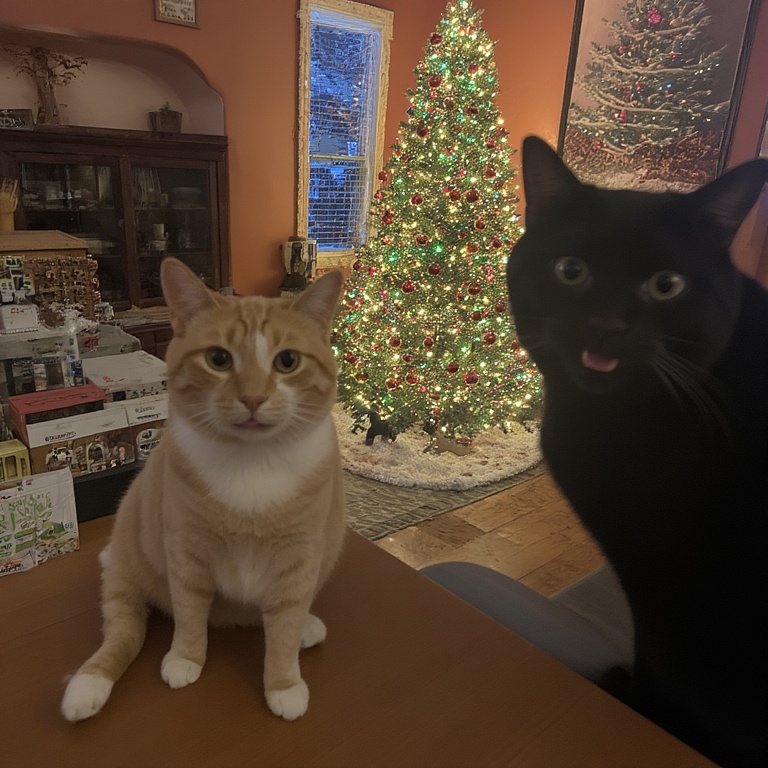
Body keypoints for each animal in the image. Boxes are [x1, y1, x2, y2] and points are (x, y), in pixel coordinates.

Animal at [61, 258, 346, 723]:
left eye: (287, 361)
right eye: (218, 359)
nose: (253, 398)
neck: (252, 465)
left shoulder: (299, 561)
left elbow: (284, 629)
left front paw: (284, 684)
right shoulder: (187, 554)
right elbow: (190, 615)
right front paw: (186, 659)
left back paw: (307, 625)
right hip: (125, 575)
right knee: (123, 632)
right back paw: (87, 687)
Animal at [506, 136, 768, 767]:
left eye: (666, 285)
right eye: (570, 271)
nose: (606, 325)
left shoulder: (667, 593)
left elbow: (663, 670)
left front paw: (633, 705)